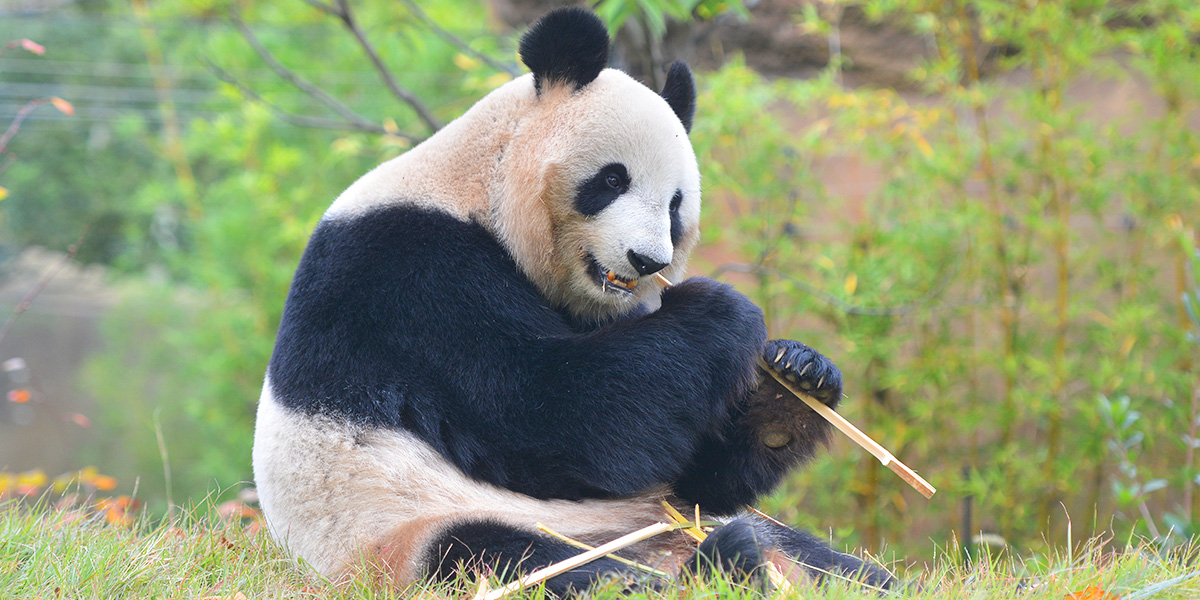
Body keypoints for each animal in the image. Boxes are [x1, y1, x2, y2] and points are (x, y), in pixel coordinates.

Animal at [253, 5, 892, 595]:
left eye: (675, 205)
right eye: (611, 181)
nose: (647, 262)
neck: (478, 184)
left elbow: (695, 470)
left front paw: (798, 376)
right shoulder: (410, 279)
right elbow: (557, 416)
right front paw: (721, 312)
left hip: (662, 519)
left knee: (821, 558)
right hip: (409, 531)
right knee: (525, 563)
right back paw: (720, 567)